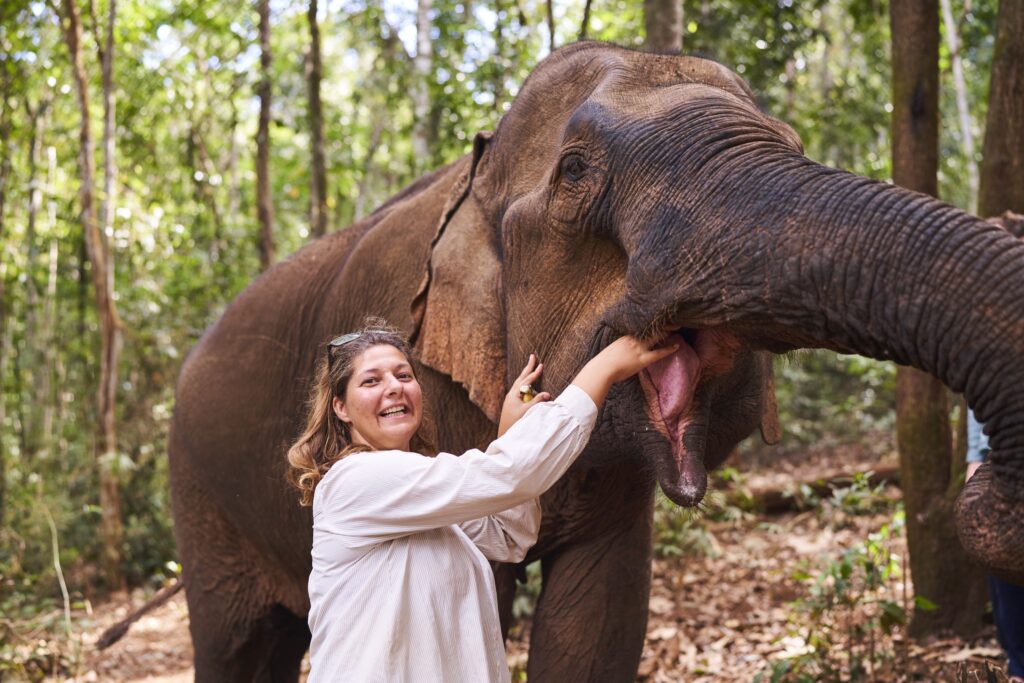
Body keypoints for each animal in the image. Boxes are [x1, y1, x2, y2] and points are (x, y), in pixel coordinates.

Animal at [169, 42, 1024, 683]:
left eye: (795, 146)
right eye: (575, 171)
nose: (986, 489)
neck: (471, 180)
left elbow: (598, 622)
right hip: (199, 498)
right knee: (233, 646)